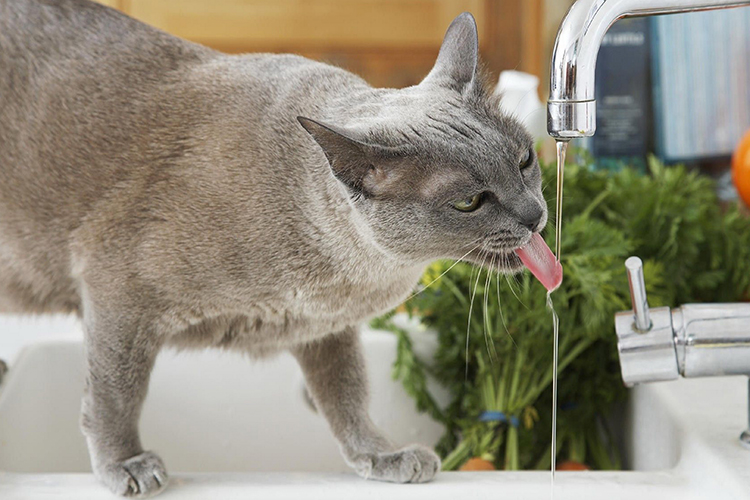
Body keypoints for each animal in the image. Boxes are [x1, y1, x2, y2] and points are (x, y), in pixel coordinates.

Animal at [0, 0, 548, 496]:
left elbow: (347, 394)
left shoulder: (324, 329)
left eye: (524, 159)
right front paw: (126, 465)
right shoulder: (119, 292)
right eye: (469, 201)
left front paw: (381, 456)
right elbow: (117, 392)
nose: (535, 215)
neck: (354, 273)